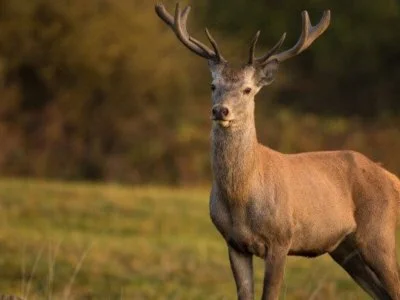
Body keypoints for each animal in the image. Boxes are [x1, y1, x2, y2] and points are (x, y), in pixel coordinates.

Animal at [154, 2, 400, 300]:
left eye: (248, 89)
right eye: (213, 85)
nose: (220, 110)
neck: (241, 198)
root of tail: (392, 178)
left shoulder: (281, 238)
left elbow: (269, 294)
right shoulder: (233, 242)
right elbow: (244, 294)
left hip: (379, 234)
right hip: (345, 249)